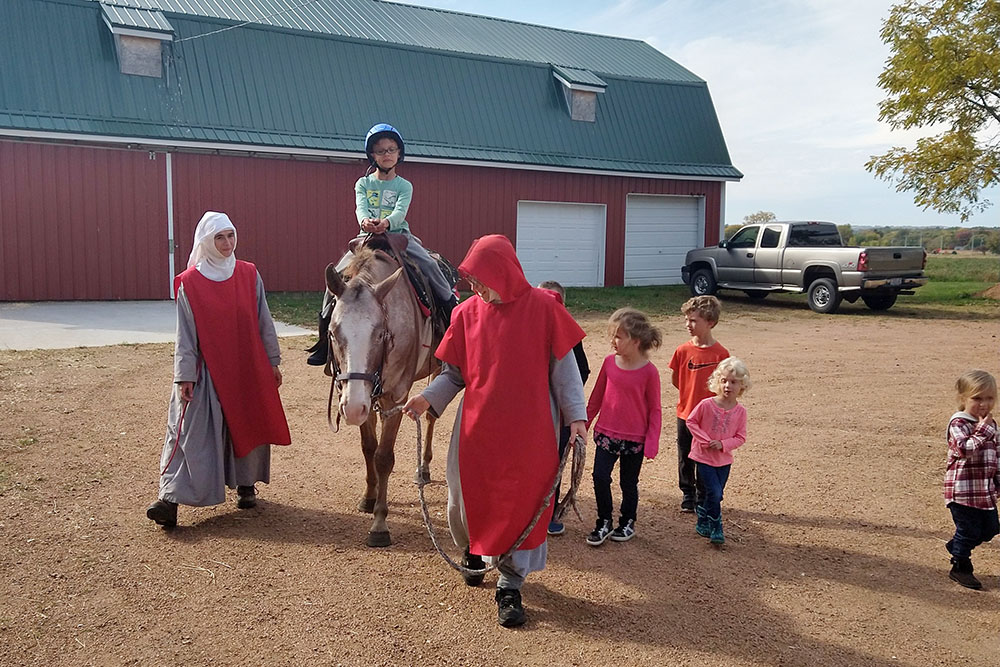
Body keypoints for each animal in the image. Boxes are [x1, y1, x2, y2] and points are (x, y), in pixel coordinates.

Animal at [326, 245, 440, 548]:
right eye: (333, 332)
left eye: (380, 334)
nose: (352, 408)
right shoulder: (364, 398)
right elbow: (369, 448)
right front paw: (369, 498)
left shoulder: (396, 399)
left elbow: (384, 457)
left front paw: (379, 524)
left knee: (431, 416)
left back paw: (423, 467)